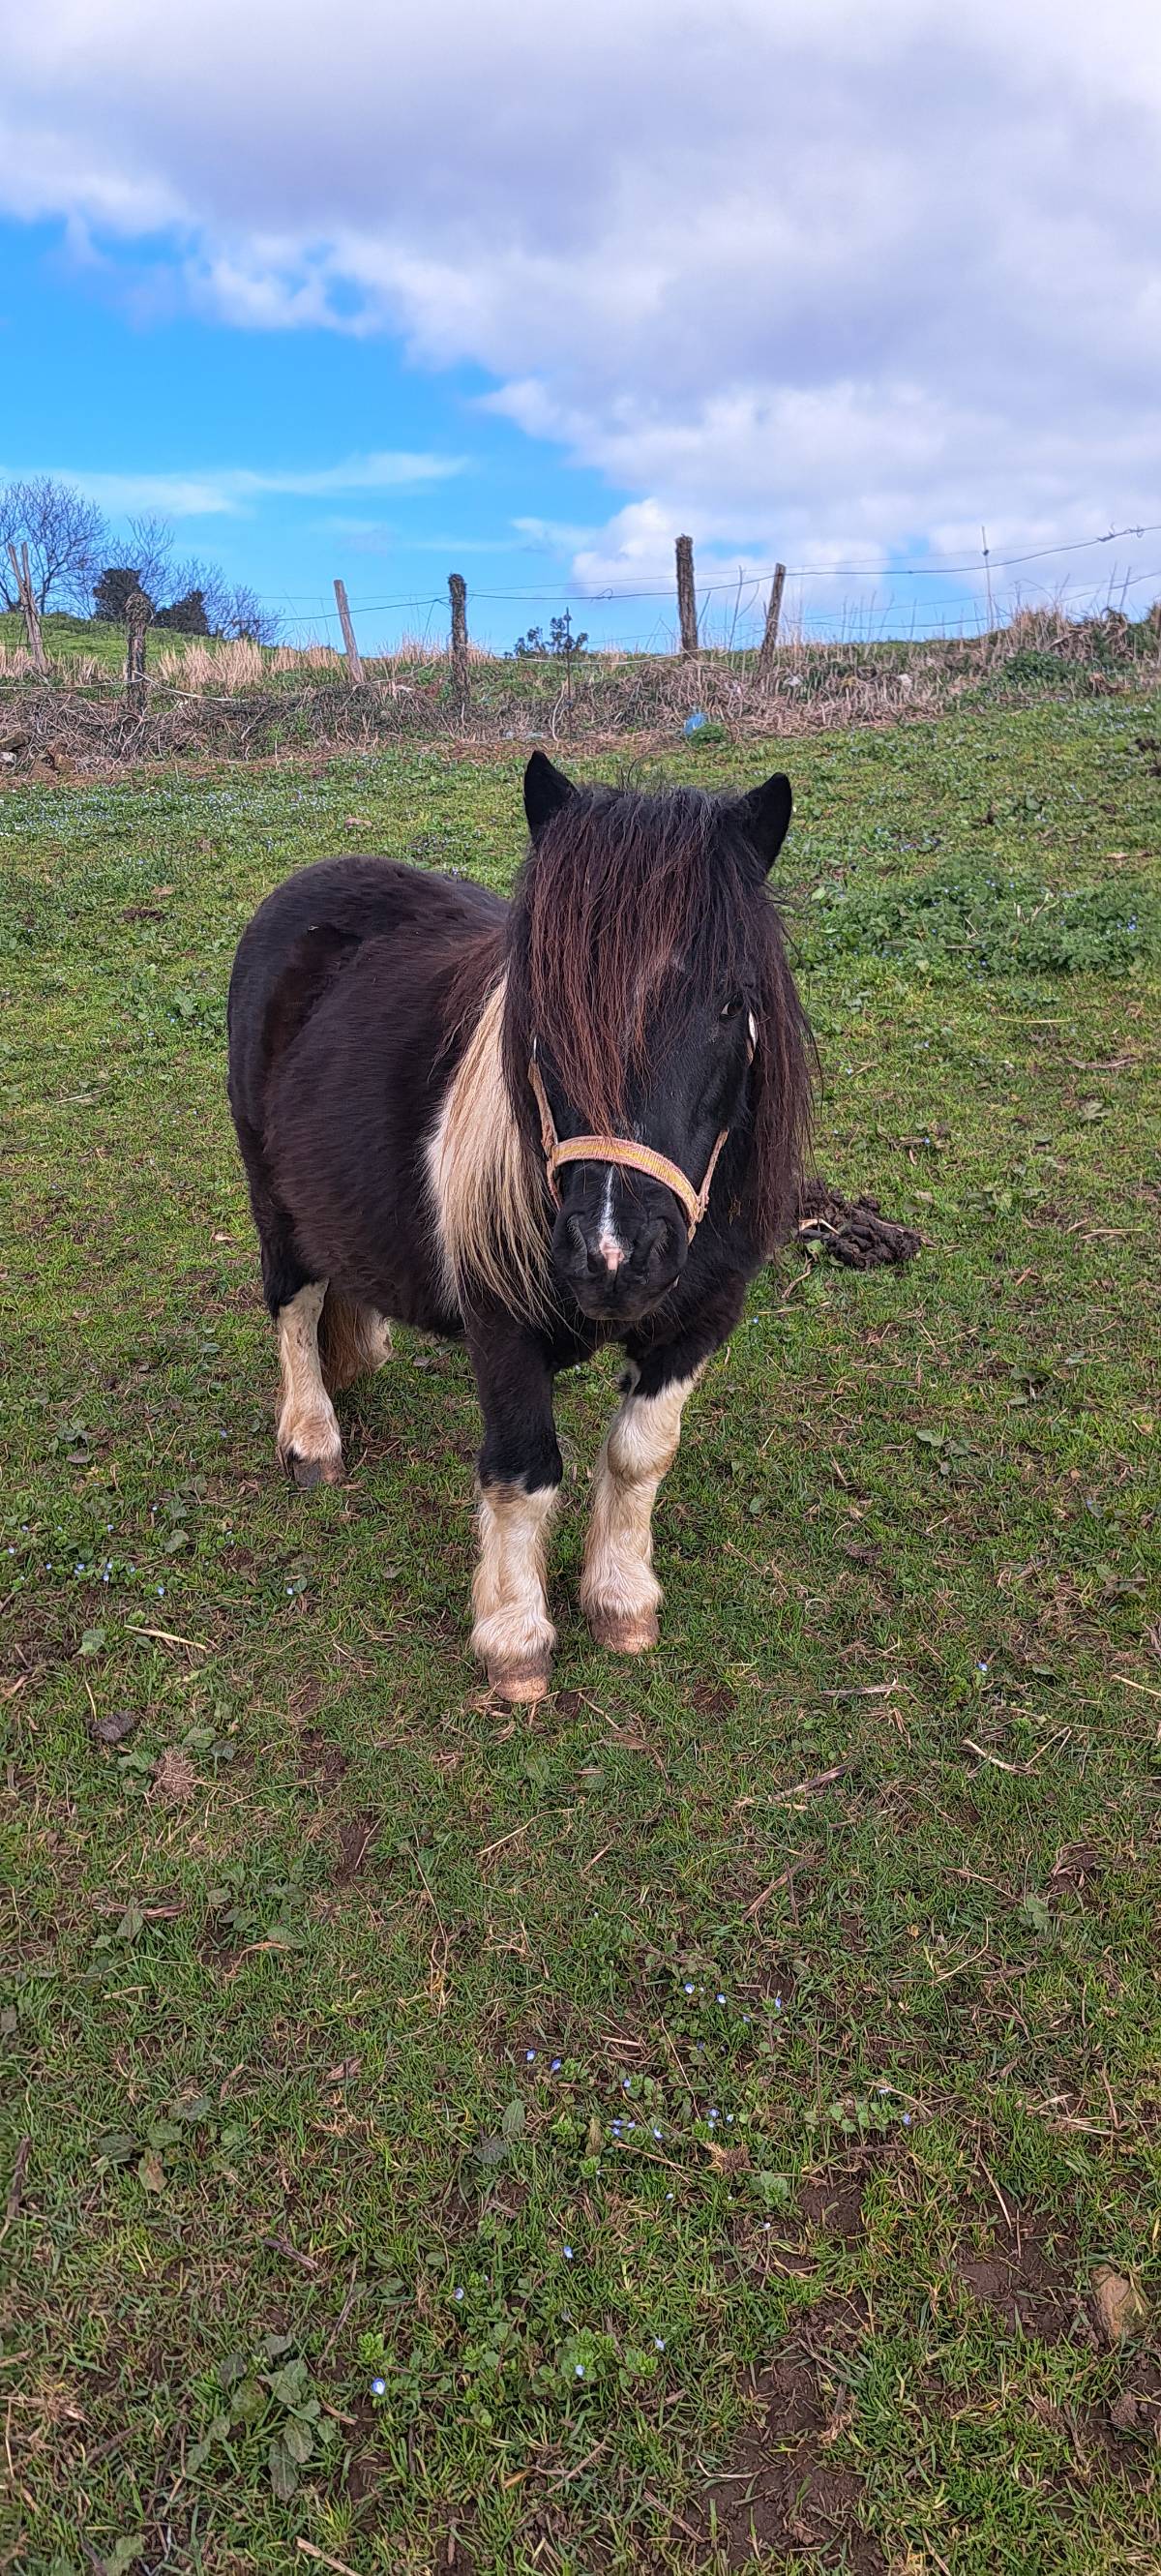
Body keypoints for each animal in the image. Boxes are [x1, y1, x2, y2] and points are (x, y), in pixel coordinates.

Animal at [227, 751, 812, 1702]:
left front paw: (620, 1598)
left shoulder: (700, 1320)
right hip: (269, 1192)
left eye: (731, 1004)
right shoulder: (499, 1319)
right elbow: (524, 1470)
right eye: (546, 1003)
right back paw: (312, 1431)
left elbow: (641, 1455)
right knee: (293, 1301)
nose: (613, 1255)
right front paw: (514, 1638)